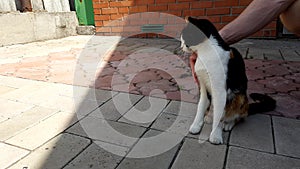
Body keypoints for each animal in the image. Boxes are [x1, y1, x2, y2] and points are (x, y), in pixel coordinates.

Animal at [180, 16, 276, 144]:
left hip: (239, 96)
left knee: (238, 116)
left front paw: (215, 135)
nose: (181, 46)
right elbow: (201, 106)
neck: (206, 53)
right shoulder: (203, 86)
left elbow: (220, 116)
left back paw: (228, 124)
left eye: (184, 36)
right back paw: (209, 117)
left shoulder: (222, 91)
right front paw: (196, 125)